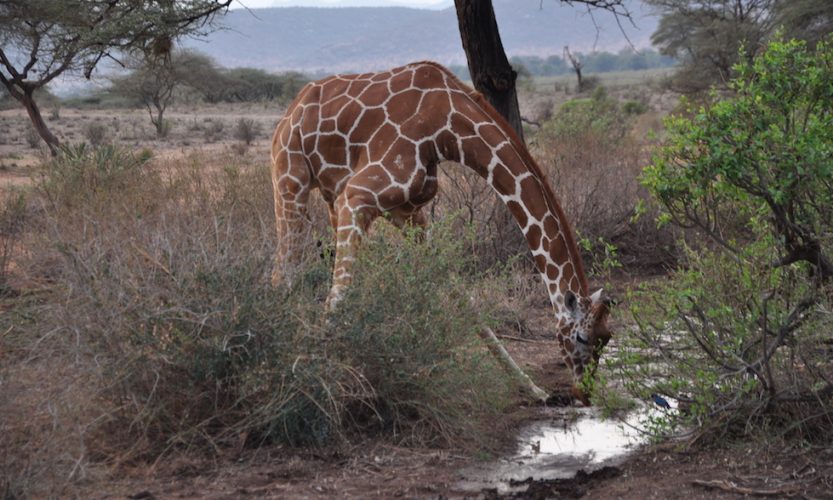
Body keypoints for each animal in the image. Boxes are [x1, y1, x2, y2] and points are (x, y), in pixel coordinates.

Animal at [272, 60, 612, 404]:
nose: (584, 393)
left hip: (329, 196)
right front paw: (315, 381)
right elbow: (339, 295)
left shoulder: (406, 211)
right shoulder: (355, 196)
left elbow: (463, 297)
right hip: (290, 179)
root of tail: (292, 109)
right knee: (283, 274)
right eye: (581, 338)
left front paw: (533, 389)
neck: (447, 126)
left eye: (607, 338)